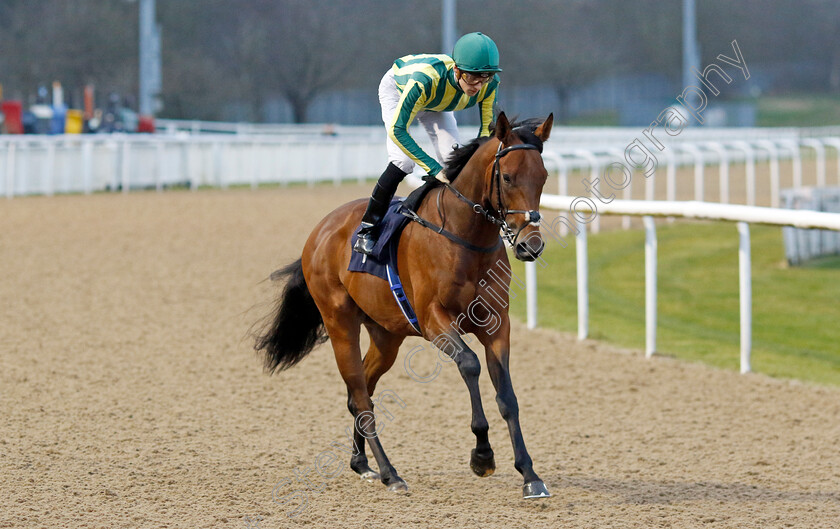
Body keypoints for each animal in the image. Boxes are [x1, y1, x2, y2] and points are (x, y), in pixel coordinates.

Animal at [256, 112, 556, 500]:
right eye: (507, 177)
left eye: (543, 176)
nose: (529, 246)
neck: (464, 238)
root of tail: (320, 230)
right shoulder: (433, 321)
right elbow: (470, 365)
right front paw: (482, 455)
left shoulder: (495, 323)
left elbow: (507, 395)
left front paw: (530, 475)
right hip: (340, 324)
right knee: (361, 397)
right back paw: (390, 473)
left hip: (386, 336)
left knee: (363, 392)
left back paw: (361, 463)